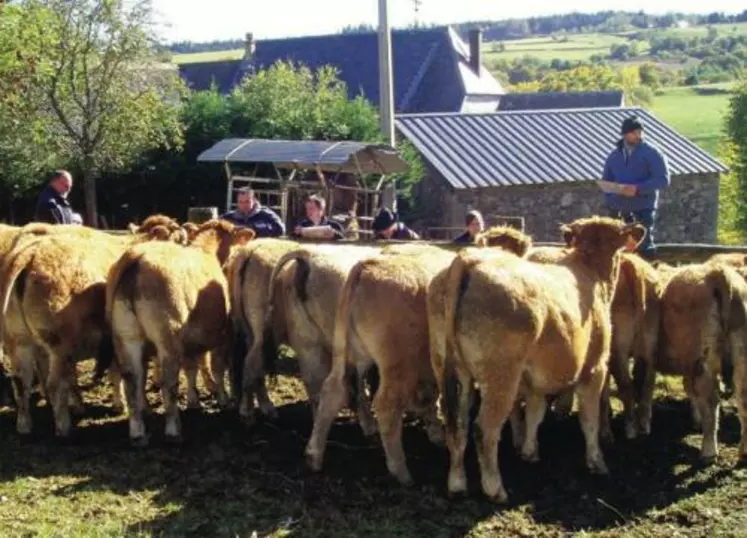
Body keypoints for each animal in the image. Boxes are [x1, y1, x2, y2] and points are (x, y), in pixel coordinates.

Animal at [106, 218, 254, 444]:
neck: (206, 251)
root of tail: (135, 259)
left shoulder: (192, 338)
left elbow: (191, 368)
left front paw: (194, 401)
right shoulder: (222, 334)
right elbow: (217, 367)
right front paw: (222, 398)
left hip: (126, 337)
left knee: (132, 380)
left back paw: (138, 431)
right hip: (168, 338)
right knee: (169, 384)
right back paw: (173, 430)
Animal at [306, 245, 456, 484]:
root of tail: (368, 265)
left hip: (350, 355)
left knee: (332, 391)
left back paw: (314, 455)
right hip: (399, 366)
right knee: (387, 405)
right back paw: (401, 472)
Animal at [444, 216, 644, 500]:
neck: (590, 270)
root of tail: (470, 260)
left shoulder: (536, 380)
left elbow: (535, 412)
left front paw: (529, 451)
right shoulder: (595, 369)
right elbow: (589, 419)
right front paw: (596, 461)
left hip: (455, 373)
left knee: (457, 426)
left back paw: (457, 483)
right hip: (501, 378)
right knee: (484, 430)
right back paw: (495, 488)